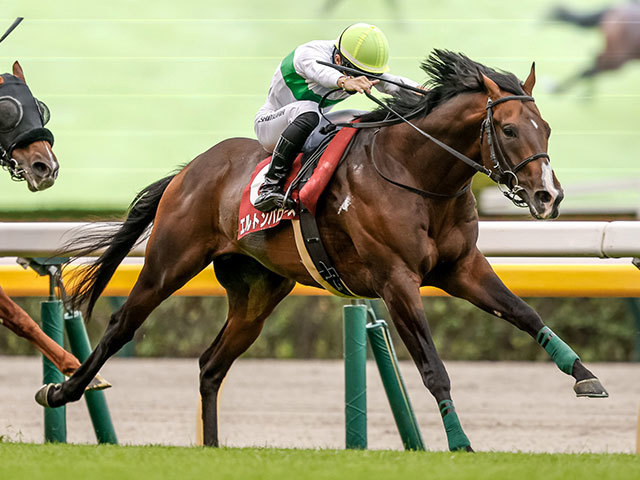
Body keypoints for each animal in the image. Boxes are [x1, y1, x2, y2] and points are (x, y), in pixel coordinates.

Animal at [37, 50, 608, 452]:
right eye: (508, 129)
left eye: (546, 128)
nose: (549, 196)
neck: (417, 174)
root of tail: (190, 169)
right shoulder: (396, 280)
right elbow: (433, 366)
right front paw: (461, 444)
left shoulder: (461, 268)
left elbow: (526, 314)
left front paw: (586, 376)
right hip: (170, 261)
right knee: (122, 325)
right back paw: (62, 391)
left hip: (258, 292)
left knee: (211, 364)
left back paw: (213, 448)